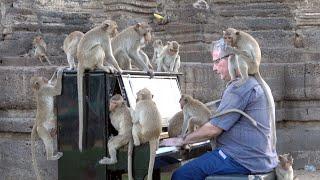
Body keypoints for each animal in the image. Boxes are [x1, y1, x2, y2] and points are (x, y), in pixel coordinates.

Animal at [77, 19, 123, 152]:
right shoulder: (105, 38)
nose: (117, 32)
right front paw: (119, 69)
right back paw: (101, 67)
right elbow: (108, 54)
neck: (103, 29)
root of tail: (80, 62)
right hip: (89, 58)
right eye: (115, 28)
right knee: (98, 48)